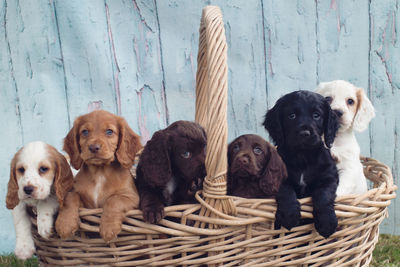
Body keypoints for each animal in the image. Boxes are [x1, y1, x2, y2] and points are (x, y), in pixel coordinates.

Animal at [54, 110, 142, 242]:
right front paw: (65, 224)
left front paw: (108, 228)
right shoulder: (86, 206)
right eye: (85, 132)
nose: (93, 147)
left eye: (109, 131)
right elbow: (70, 196)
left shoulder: (132, 197)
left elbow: (113, 200)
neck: (99, 172)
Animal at [264, 90, 340, 239]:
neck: (303, 156)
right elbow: (285, 191)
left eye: (316, 115)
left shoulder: (329, 177)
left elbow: (324, 196)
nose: (304, 133)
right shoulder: (276, 177)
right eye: (291, 116)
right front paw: (289, 216)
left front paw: (327, 223)